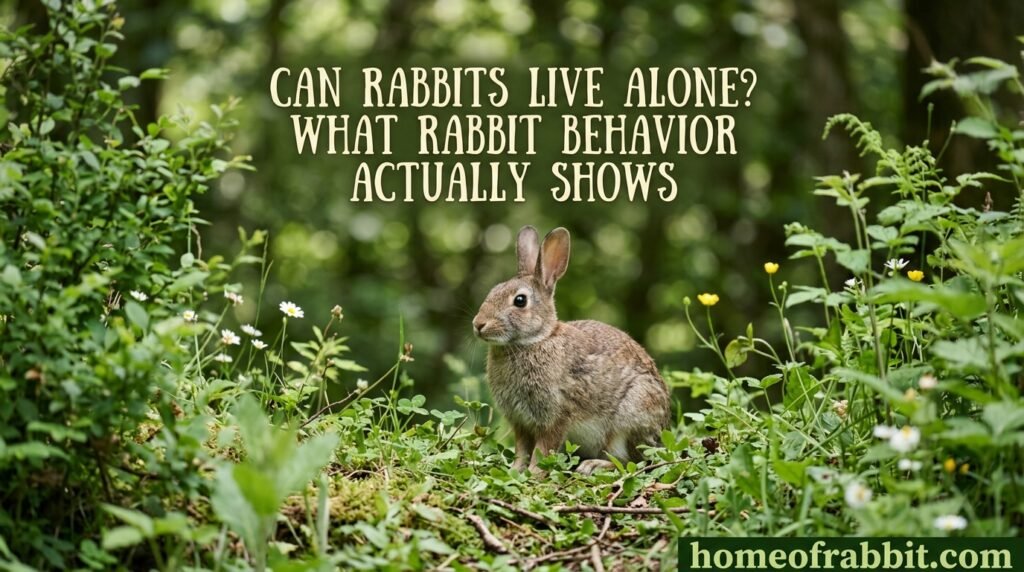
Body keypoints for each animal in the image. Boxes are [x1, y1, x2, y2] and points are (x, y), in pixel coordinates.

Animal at [472, 225, 672, 475]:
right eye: (493, 290)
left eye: (520, 301)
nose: (478, 324)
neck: (535, 340)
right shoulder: (521, 423)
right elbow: (522, 449)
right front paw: (515, 470)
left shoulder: (556, 415)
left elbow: (543, 450)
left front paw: (534, 474)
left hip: (630, 417)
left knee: (631, 461)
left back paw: (592, 465)